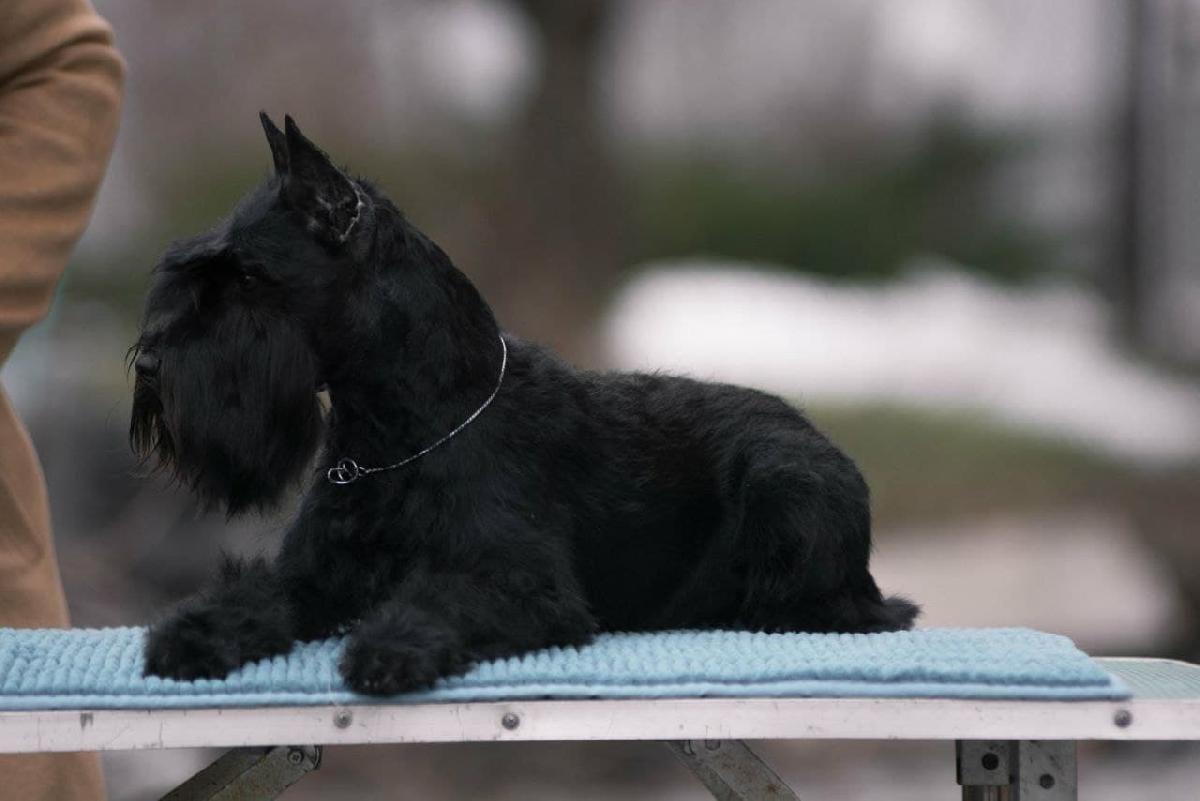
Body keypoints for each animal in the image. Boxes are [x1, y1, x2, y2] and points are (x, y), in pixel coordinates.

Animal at [130, 113, 918, 695]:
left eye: (249, 279)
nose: (149, 364)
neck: (401, 434)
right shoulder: (316, 574)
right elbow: (259, 594)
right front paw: (194, 632)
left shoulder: (524, 588)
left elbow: (439, 597)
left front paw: (391, 645)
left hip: (785, 485)